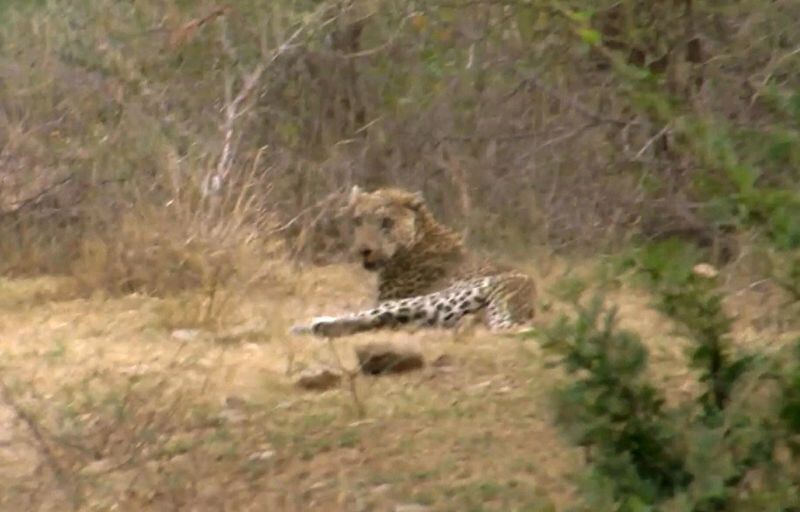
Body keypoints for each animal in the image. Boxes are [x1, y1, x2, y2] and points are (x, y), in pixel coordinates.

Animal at [290, 186, 536, 338]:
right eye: (358, 220)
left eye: (386, 222)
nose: (364, 251)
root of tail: (523, 302)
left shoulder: (389, 299)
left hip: (432, 300)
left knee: (367, 317)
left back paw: (309, 324)